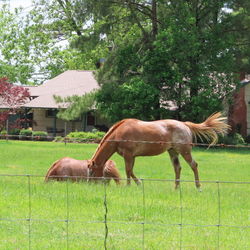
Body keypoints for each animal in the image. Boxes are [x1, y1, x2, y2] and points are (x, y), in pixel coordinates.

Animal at [87, 112, 229, 188]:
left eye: (92, 171)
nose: (89, 184)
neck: (118, 133)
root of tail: (184, 124)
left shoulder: (128, 155)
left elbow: (128, 171)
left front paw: (131, 185)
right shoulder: (132, 157)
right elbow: (131, 171)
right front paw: (137, 184)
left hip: (184, 151)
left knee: (194, 165)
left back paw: (198, 187)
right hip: (173, 152)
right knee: (177, 168)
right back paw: (176, 187)